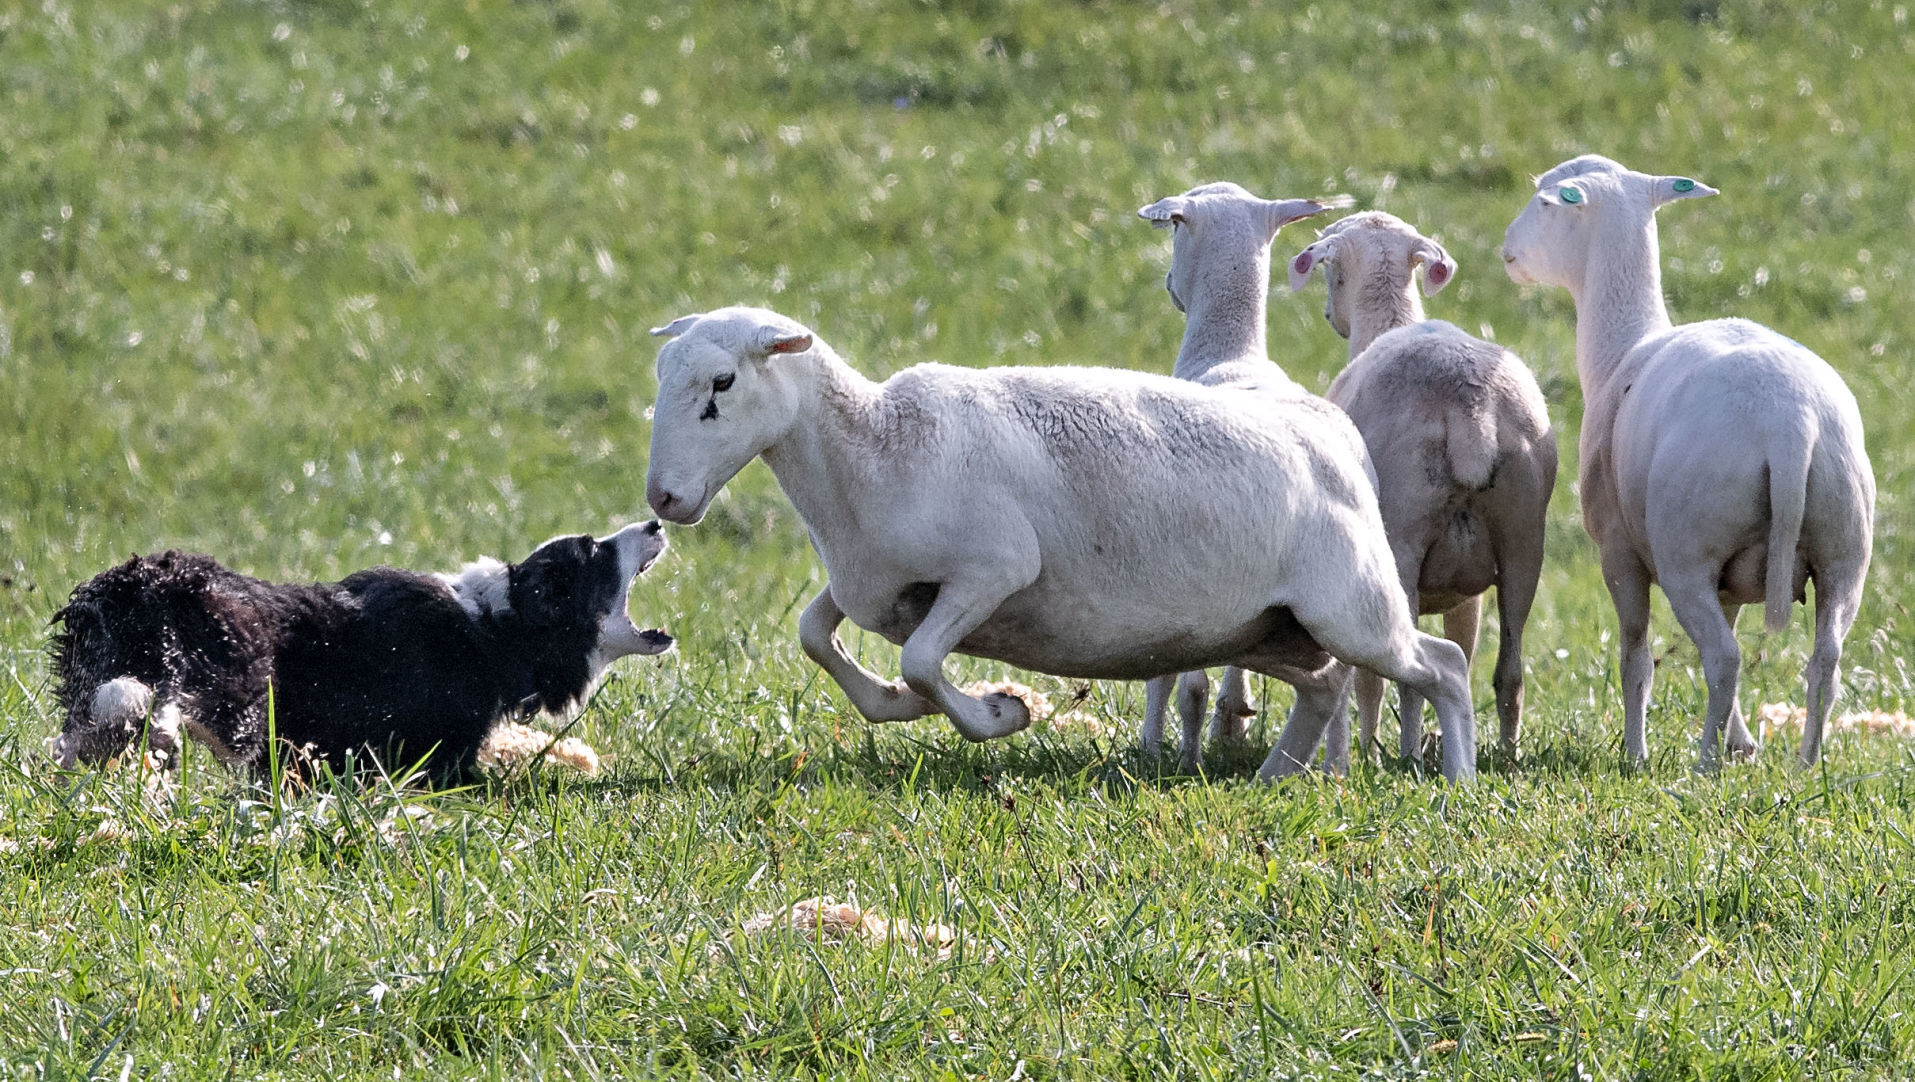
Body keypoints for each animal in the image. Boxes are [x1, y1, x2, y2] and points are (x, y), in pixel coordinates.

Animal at [643, 308, 1478, 781]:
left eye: (722, 383)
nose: (663, 499)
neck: (873, 447)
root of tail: (1333, 433)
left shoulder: (994, 569)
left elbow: (921, 660)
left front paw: (1001, 713)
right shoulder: (870, 581)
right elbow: (816, 634)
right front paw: (897, 705)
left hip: (1351, 608)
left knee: (1441, 665)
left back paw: (1458, 782)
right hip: (1269, 627)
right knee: (1325, 685)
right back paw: (1274, 776)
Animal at [1133, 180, 1332, 766]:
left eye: (1176, 228)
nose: (1169, 285)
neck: (1230, 350)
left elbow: (1166, 675)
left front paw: (1154, 743)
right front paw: (1234, 714)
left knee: (1188, 682)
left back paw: (1185, 755)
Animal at [1286, 210, 1554, 758]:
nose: (1329, 315)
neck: (1389, 323)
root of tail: (1471, 410)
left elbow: (1370, 678)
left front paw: (1369, 747)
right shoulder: (1467, 592)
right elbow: (1466, 649)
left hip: (1403, 541)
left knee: (1403, 677)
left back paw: (1401, 755)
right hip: (1524, 537)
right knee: (1509, 671)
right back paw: (1507, 756)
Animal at [1493, 154, 1869, 766]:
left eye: (1546, 203)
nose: (1508, 249)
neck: (1622, 346)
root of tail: (1790, 422)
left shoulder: (1618, 551)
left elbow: (1635, 659)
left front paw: (1635, 754)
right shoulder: (1734, 577)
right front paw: (1741, 744)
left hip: (1686, 551)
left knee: (1723, 657)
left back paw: (1702, 765)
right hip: (1844, 550)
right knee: (1824, 661)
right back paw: (1807, 764)